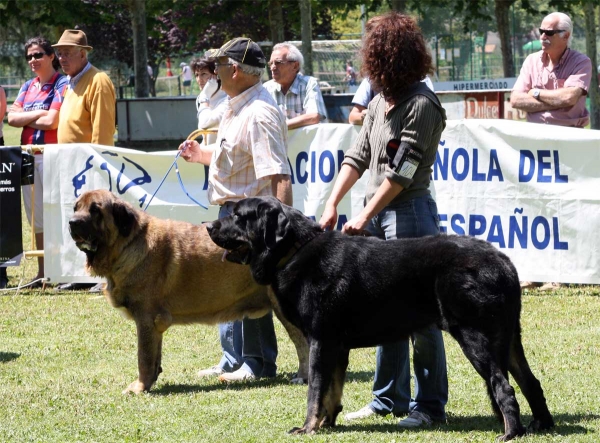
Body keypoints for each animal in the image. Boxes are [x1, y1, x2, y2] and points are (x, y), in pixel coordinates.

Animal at [68, 191, 308, 396]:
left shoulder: (145, 318)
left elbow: (143, 357)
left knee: (303, 344)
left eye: (95, 210)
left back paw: (302, 377)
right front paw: (151, 380)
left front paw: (139, 387)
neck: (128, 244)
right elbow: (154, 356)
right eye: (76, 207)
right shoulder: (153, 325)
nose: (72, 222)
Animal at [206, 199, 552, 443]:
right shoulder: (337, 346)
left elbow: (315, 390)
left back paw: (510, 433)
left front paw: (308, 427)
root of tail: (503, 260)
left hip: (476, 337)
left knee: (503, 386)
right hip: (509, 338)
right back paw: (541, 425)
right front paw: (327, 424)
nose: (209, 225)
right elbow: (332, 391)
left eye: (238, 216)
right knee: (531, 382)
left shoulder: (320, 341)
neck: (293, 250)